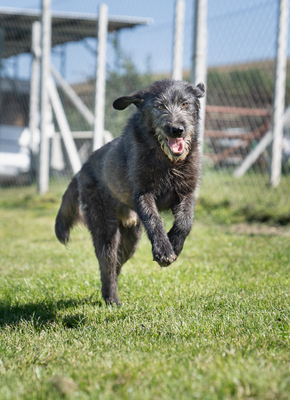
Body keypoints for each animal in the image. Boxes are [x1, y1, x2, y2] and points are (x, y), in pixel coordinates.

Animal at [55, 77, 205, 304]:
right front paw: (163, 249)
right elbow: (154, 220)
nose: (176, 129)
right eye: (159, 106)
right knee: (107, 263)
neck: (167, 162)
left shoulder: (186, 193)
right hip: (106, 229)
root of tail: (82, 169)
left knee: (116, 263)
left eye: (185, 104)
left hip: (131, 238)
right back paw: (111, 298)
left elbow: (185, 223)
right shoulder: (144, 194)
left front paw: (174, 245)